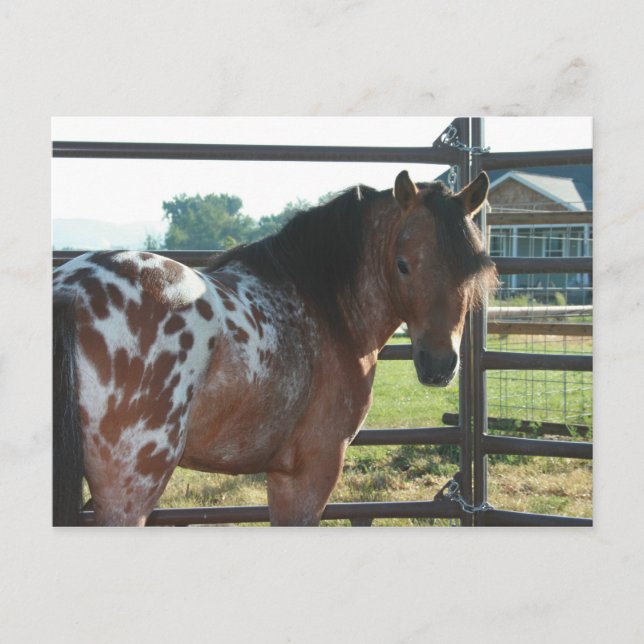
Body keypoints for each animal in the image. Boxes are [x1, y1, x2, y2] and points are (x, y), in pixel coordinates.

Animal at [52, 170, 498, 527]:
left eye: (471, 268)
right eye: (403, 265)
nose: (439, 364)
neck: (324, 307)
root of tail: (71, 291)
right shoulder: (309, 473)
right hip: (131, 487)